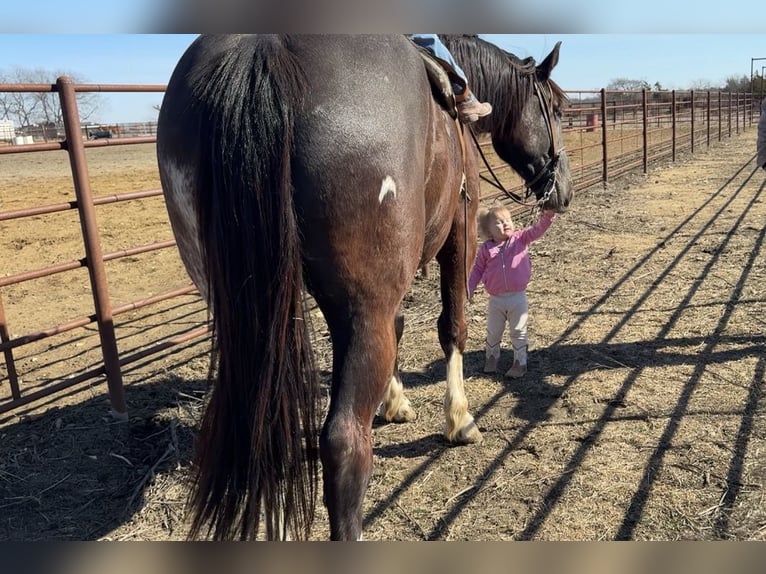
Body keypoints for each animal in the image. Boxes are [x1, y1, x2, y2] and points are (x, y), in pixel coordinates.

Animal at [156, 34, 572, 541]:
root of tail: (265, 51)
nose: (562, 189)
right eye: (556, 108)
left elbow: (401, 325)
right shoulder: (460, 229)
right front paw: (460, 420)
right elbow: (452, 326)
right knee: (344, 445)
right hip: (361, 309)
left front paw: (395, 402)